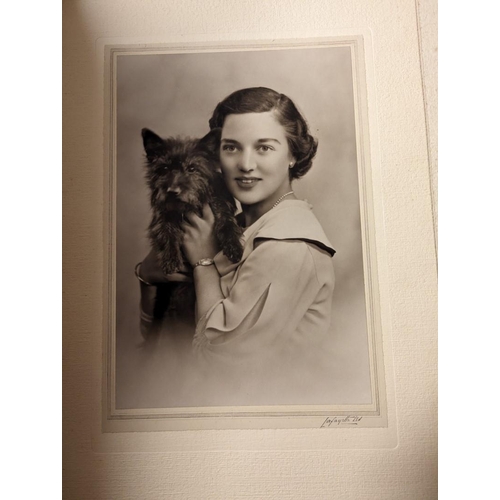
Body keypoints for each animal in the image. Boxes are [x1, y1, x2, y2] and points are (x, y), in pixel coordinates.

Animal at [140, 128, 243, 332]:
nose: (172, 191)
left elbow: (226, 223)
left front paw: (233, 246)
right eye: (164, 169)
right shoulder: (162, 216)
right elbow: (166, 231)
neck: (187, 207)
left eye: (193, 169)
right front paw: (171, 258)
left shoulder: (219, 204)